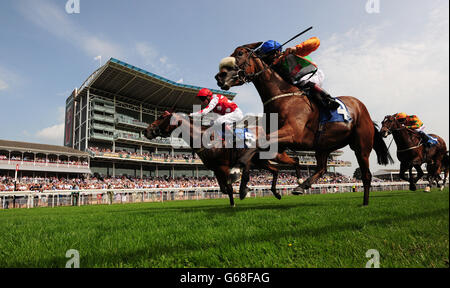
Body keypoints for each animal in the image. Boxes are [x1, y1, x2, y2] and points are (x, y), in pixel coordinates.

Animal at [142, 111, 300, 207]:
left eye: (161, 117)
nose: (146, 130)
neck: (205, 138)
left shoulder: (223, 166)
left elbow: (228, 187)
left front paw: (236, 198)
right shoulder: (216, 168)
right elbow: (223, 189)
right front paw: (238, 194)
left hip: (274, 155)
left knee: (295, 160)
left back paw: (299, 181)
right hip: (261, 161)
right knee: (276, 170)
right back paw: (277, 193)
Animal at [213, 41, 392, 206]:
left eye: (240, 53)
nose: (219, 76)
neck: (282, 97)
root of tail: (362, 108)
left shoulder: (293, 132)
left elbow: (259, 142)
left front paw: (236, 170)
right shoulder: (279, 142)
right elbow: (260, 148)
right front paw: (244, 185)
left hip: (361, 146)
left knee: (366, 175)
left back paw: (365, 202)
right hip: (324, 146)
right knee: (322, 168)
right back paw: (301, 185)